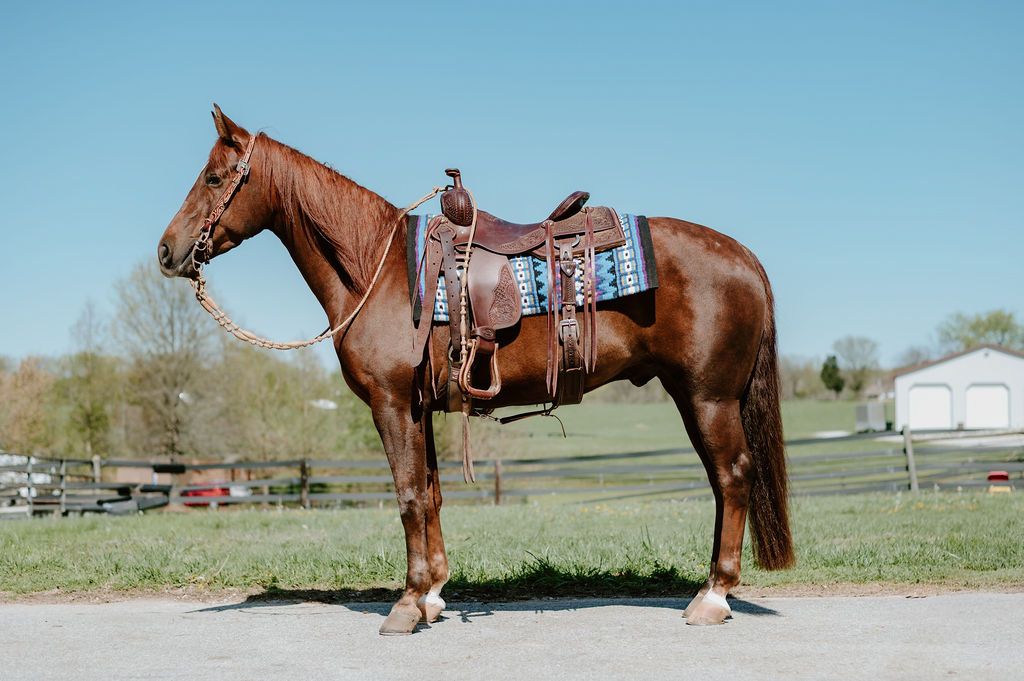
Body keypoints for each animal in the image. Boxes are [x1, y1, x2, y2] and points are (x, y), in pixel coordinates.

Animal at [157, 106, 794, 635]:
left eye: (214, 178)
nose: (167, 251)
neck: (378, 269)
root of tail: (742, 255)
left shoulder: (391, 404)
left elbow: (408, 495)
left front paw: (406, 605)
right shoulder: (418, 408)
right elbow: (431, 494)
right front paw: (434, 594)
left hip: (708, 397)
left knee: (733, 477)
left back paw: (714, 597)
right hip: (696, 396)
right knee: (722, 481)